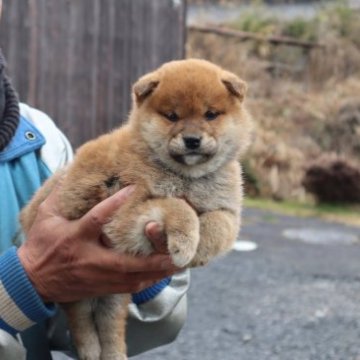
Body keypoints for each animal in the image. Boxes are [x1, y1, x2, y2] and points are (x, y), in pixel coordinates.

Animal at [20, 59, 253, 360]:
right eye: (172, 116)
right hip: (75, 284)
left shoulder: (226, 209)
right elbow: (178, 206)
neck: (187, 178)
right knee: (80, 318)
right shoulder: (124, 211)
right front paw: (185, 244)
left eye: (211, 114)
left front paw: (200, 249)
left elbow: (218, 225)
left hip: (112, 295)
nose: (192, 140)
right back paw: (89, 349)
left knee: (110, 327)